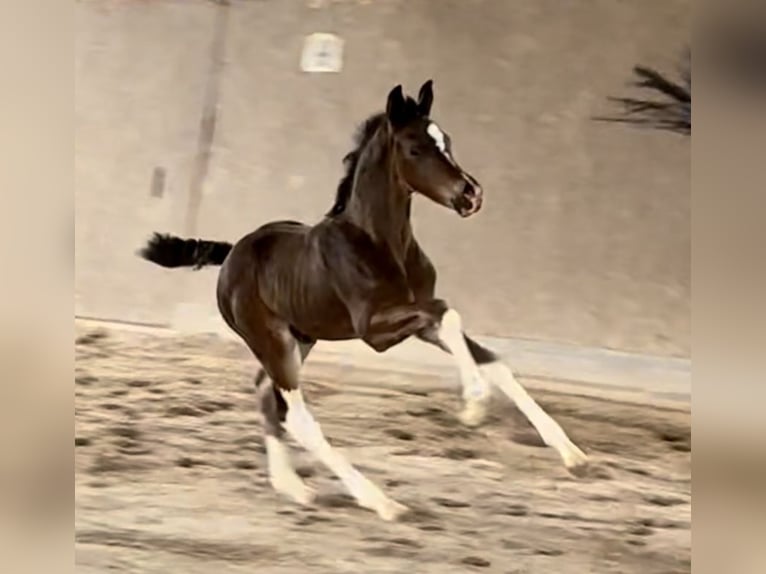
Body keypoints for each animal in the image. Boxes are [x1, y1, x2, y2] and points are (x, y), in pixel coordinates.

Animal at [139, 80, 587, 521]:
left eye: (447, 141)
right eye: (415, 148)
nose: (471, 195)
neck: (378, 242)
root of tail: (233, 252)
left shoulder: (418, 321)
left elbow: (489, 356)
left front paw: (572, 453)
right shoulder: (375, 330)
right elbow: (449, 314)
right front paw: (474, 406)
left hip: (300, 338)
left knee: (267, 395)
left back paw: (294, 488)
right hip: (271, 339)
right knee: (296, 415)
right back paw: (381, 501)